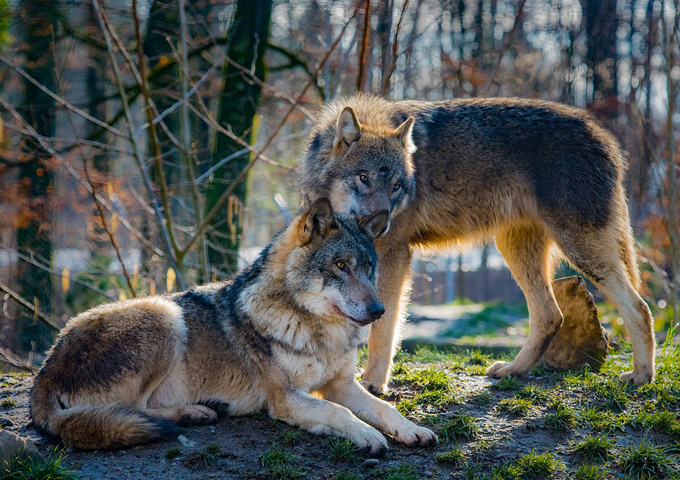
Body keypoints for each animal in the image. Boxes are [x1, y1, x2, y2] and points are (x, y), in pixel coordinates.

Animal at [30, 197, 436, 452]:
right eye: (340, 266)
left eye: (367, 268)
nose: (379, 310)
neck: (318, 331)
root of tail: (45, 368)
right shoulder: (285, 398)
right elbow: (339, 412)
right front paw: (367, 436)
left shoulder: (341, 384)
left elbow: (384, 408)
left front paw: (412, 430)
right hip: (164, 315)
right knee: (133, 410)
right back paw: (193, 412)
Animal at [300, 94, 656, 394]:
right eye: (364, 178)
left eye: (397, 186)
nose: (382, 224)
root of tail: (606, 137)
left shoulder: (393, 254)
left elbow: (382, 327)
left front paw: (373, 383)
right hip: (516, 250)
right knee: (550, 315)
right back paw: (514, 370)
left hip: (579, 249)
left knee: (638, 307)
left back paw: (641, 376)